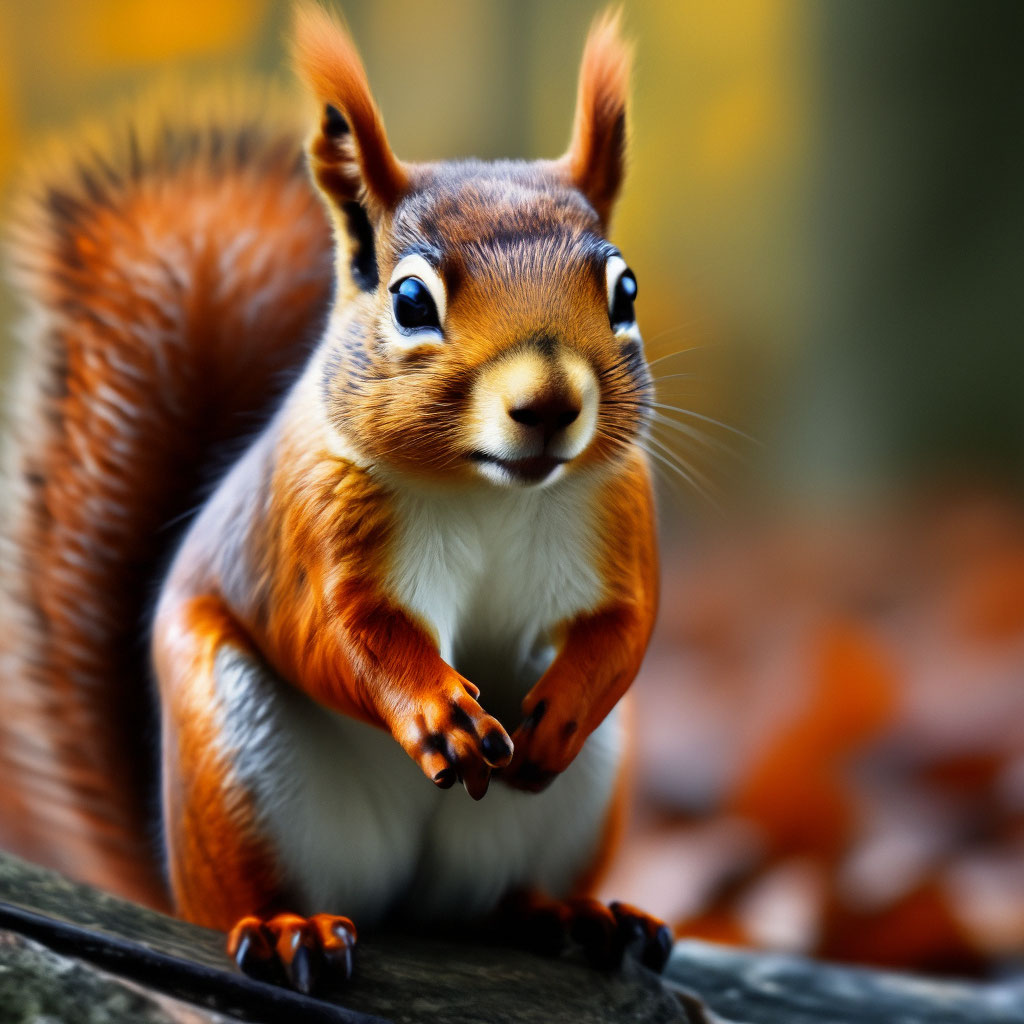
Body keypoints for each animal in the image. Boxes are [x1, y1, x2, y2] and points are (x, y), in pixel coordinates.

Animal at [0, 3, 667, 992]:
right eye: (410, 300)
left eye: (624, 290)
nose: (549, 404)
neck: (491, 489)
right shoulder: (313, 524)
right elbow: (341, 633)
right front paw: (436, 712)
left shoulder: (618, 513)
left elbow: (626, 624)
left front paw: (565, 708)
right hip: (235, 765)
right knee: (254, 892)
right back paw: (291, 931)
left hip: (577, 803)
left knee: (505, 901)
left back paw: (577, 917)